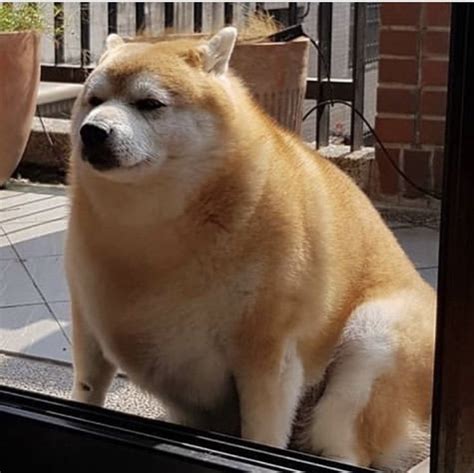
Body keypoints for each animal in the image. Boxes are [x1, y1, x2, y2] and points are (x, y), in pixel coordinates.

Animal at [66, 27, 436, 470]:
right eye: (94, 100)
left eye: (149, 104)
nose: (92, 131)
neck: (152, 231)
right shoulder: (88, 327)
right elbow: (87, 391)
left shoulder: (269, 357)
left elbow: (263, 436)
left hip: (370, 341)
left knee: (345, 446)